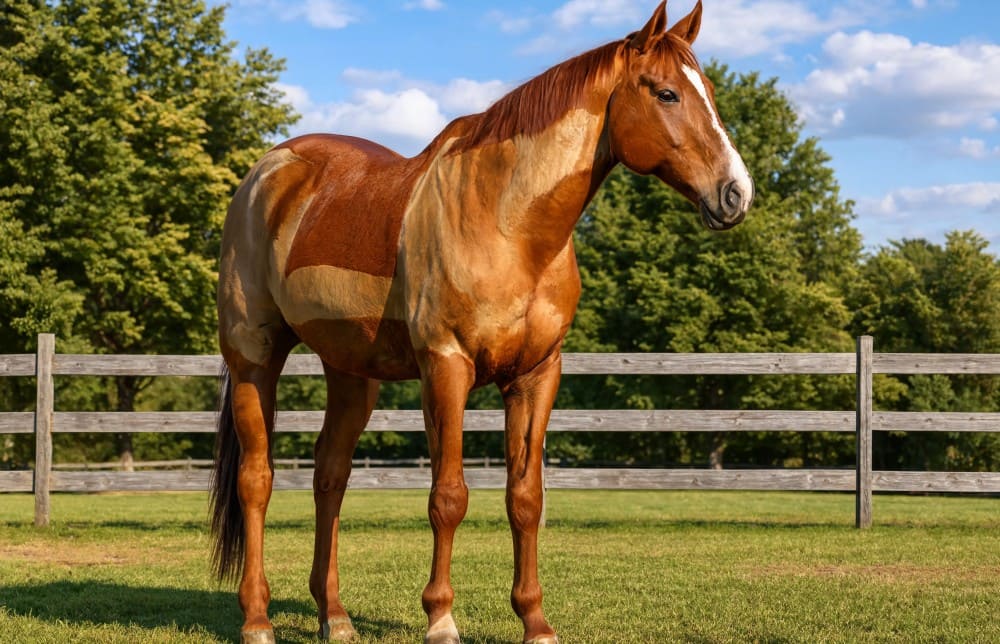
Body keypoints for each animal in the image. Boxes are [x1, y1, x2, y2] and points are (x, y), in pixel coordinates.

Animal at [210, 1, 753, 642]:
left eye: (708, 92)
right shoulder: (447, 367)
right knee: (257, 479)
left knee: (330, 475)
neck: (509, 224)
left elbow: (526, 498)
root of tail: (266, 173)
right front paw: (441, 618)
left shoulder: (537, 375)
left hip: (351, 373)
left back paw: (335, 617)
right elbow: (448, 496)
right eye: (667, 93)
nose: (736, 193)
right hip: (254, 357)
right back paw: (257, 618)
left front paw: (535, 619)